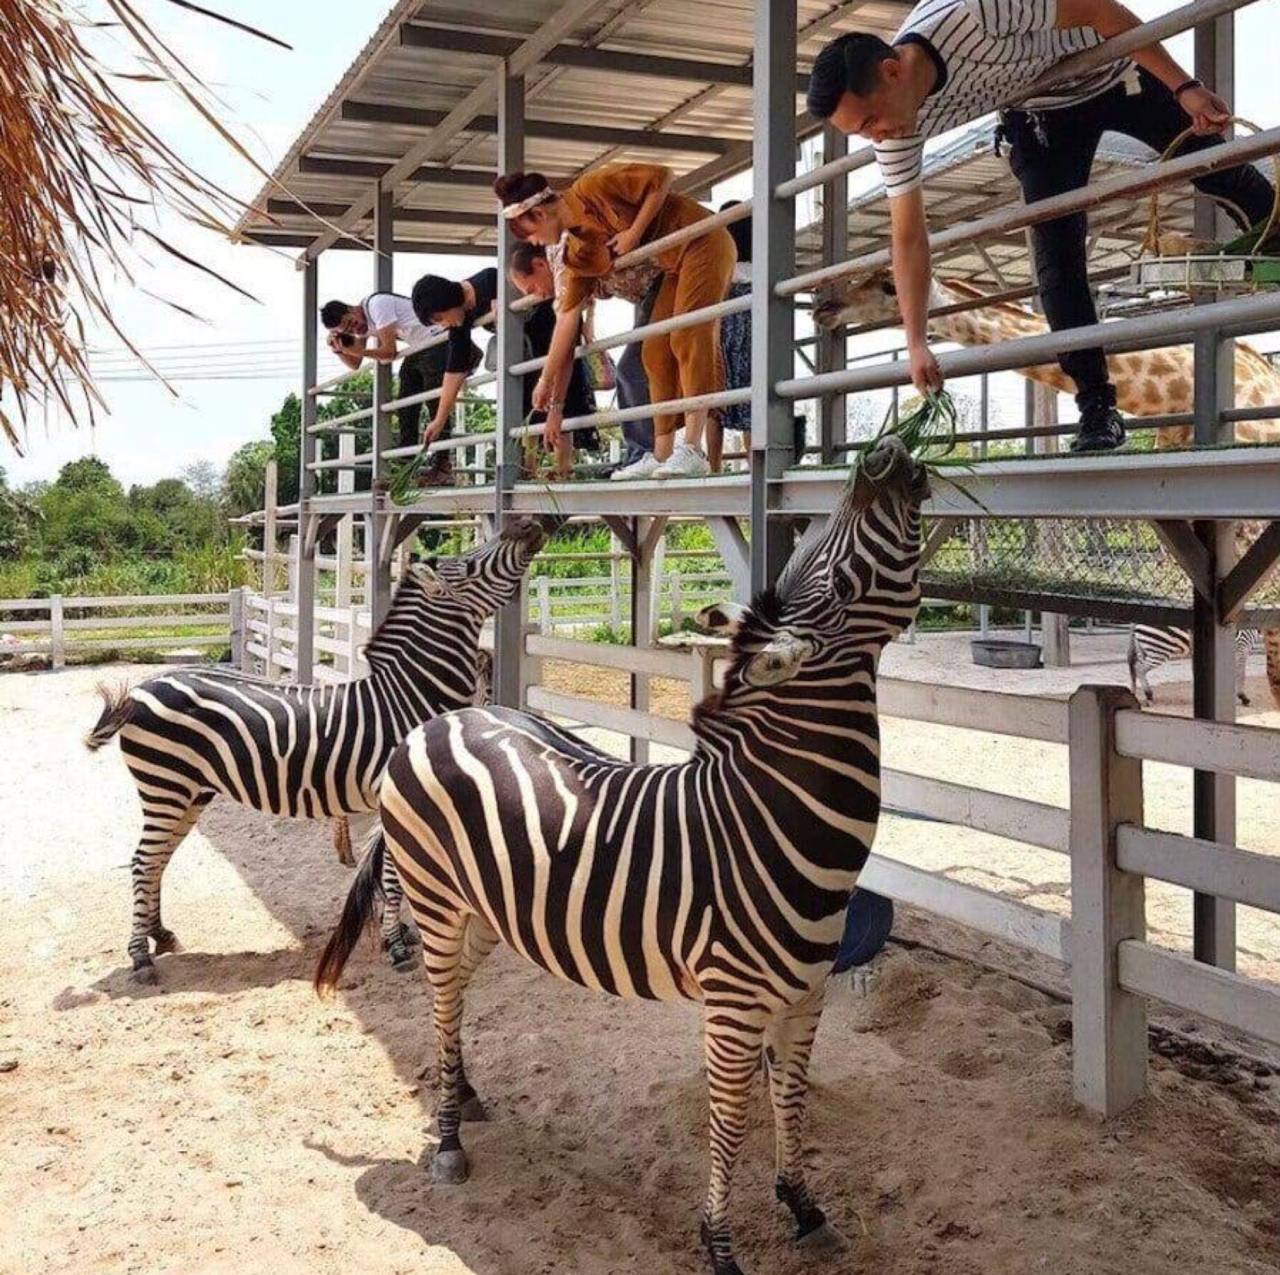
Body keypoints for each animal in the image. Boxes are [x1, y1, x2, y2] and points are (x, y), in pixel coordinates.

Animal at [85, 517, 547, 983]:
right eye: (469, 566)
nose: (528, 523)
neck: (409, 694)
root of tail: (144, 686)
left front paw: (400, 935)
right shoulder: (394, 797)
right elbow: (393, 876)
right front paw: (396, 945)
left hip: (190, 790)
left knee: (159, 858)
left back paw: (160, 936)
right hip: (166, 784)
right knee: (143, 860)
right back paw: (140, 956)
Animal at [316, 435, 928, 1275]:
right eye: (833, 579)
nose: (885, 455)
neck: (770, 816)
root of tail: (435, 723)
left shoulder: (806, 996)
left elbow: (792, 1101)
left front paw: (804, 1205)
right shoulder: (733, 1006)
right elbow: (731, 1121)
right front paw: (721, 1246)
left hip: (480, 910)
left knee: (455, 999)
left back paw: (461, 1093)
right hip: (436, 899)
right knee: (439, 997)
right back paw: (447, 1141)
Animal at [1127, 623, 1257, 706]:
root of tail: (1135, 623)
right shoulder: (1242, 648)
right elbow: (1241, 673)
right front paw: (1243, 697)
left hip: (1145, 649)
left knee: (1135, 667)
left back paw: (1136, 694)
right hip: (1159, 650)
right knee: (1139, 669)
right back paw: (1149, 696)